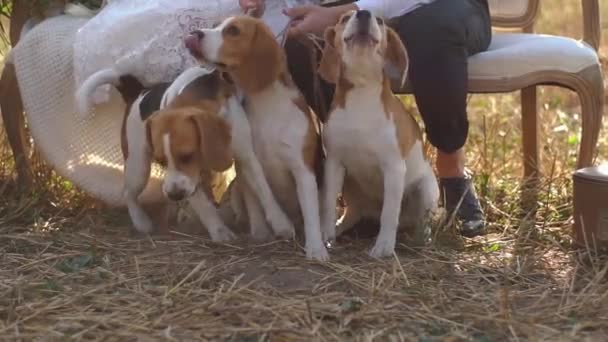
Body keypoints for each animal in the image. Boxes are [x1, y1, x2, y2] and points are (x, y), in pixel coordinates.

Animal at [185, 15, 330, 260]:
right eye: (216, 26)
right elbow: (257, 201)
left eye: (233, 31)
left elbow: (310, 212)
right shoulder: (247, 164)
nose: (194, 35)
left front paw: (316, 248)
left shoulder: (302, 169)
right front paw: (260, 232)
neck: (267, 104)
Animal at [316, 9, 440, 258]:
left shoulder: (393, 168)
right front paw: (325, 236)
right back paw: (338, 228)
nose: (364, 12)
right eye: (344, 18)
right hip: (350, 187)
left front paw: (383, 246)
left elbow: (389, 213)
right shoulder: (334, 164)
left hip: (427, 190)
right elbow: (328, 205)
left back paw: (422, 239)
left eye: (380, 21)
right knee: (351, 213)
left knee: (422, 221)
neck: (362, 92)